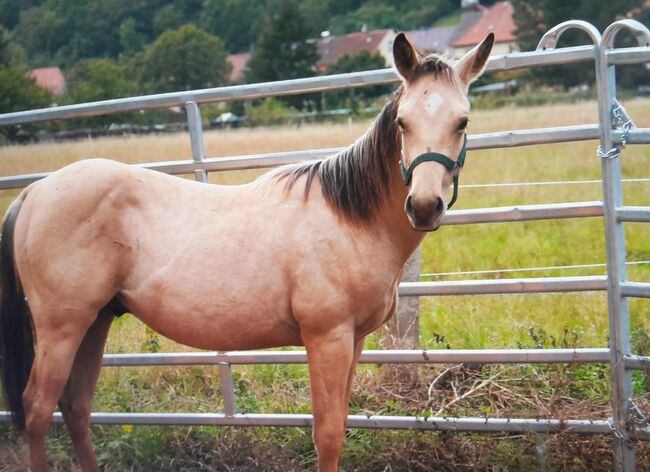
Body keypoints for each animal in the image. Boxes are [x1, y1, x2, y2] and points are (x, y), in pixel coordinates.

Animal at [0, 31, 488, 470]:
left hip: (95, 319)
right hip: (62, 326)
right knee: (39, 409)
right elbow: (328, 434)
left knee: (76, 407)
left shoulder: (355, 340)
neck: (350, 218)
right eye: (403, 122)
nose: (423, 205)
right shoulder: (327, 338)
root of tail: (35, 193)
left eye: (462, 122)